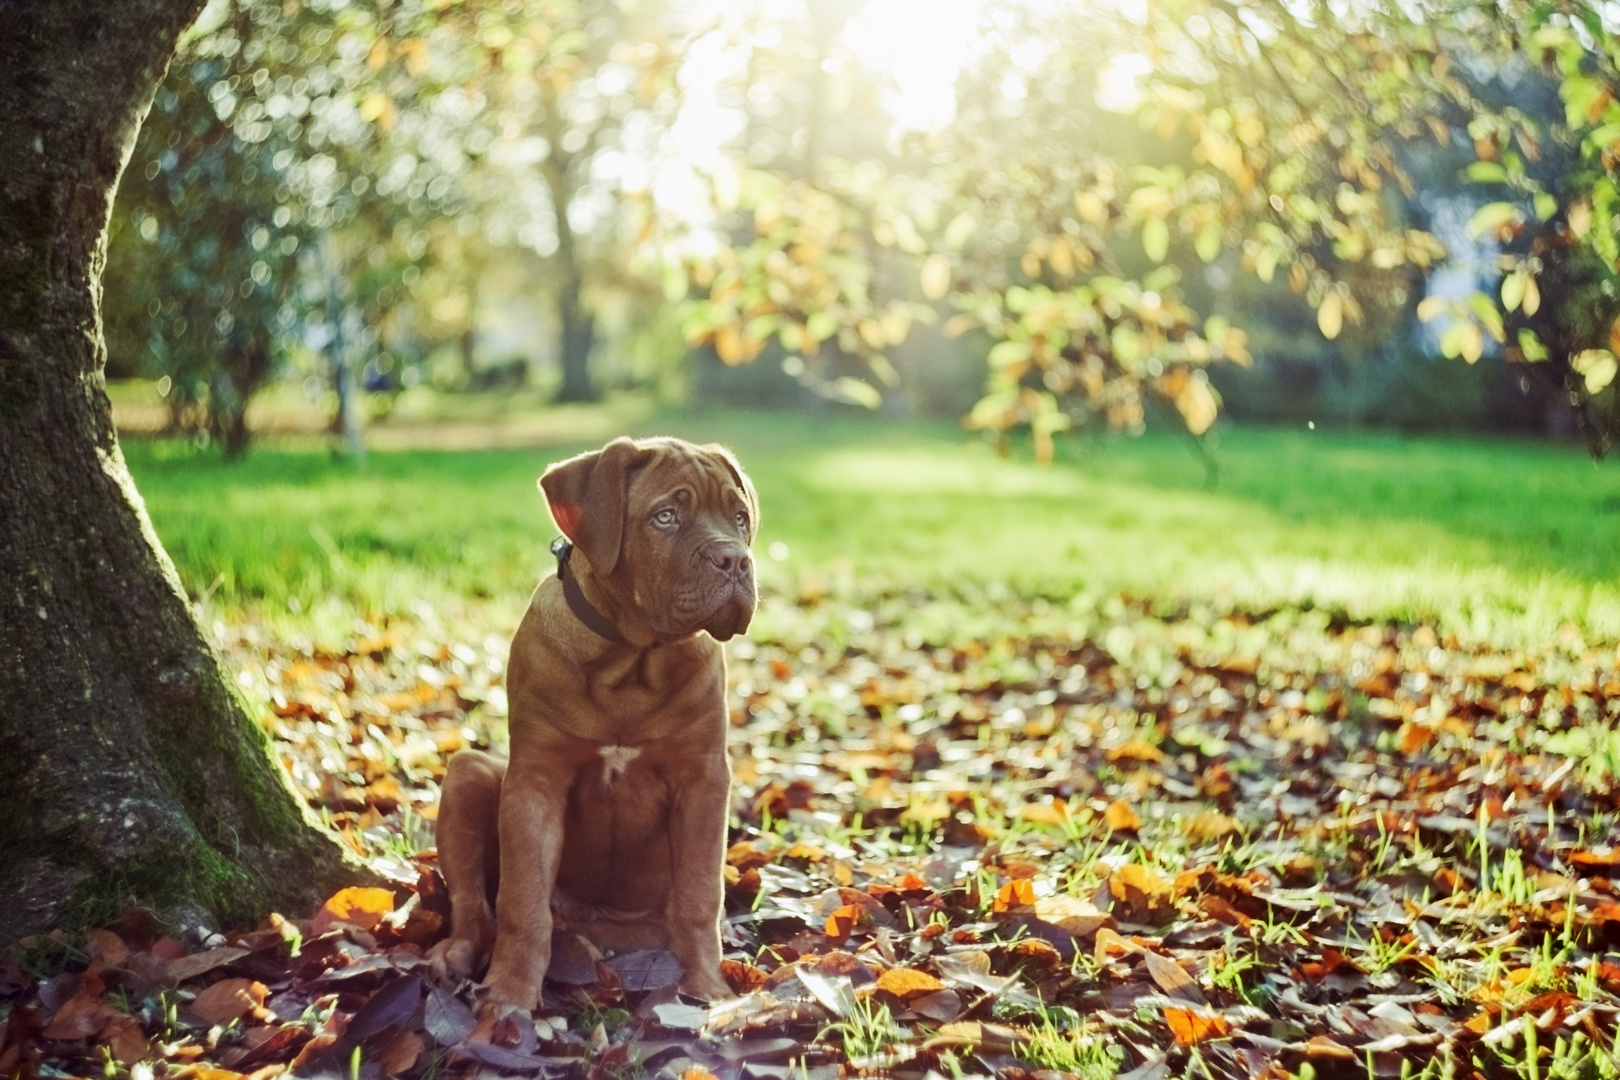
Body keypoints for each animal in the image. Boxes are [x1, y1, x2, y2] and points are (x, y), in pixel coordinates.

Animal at [430, 433, 758, 1010]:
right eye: (666, 517)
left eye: (740, 518)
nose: (736, 560)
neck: (630, 659)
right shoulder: (535, 782)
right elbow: (522, 903)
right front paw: (510, 994)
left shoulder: (703, 780)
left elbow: (700, 894)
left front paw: (707, 988)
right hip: (470, 773)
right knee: (475, 905)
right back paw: (458, 953)